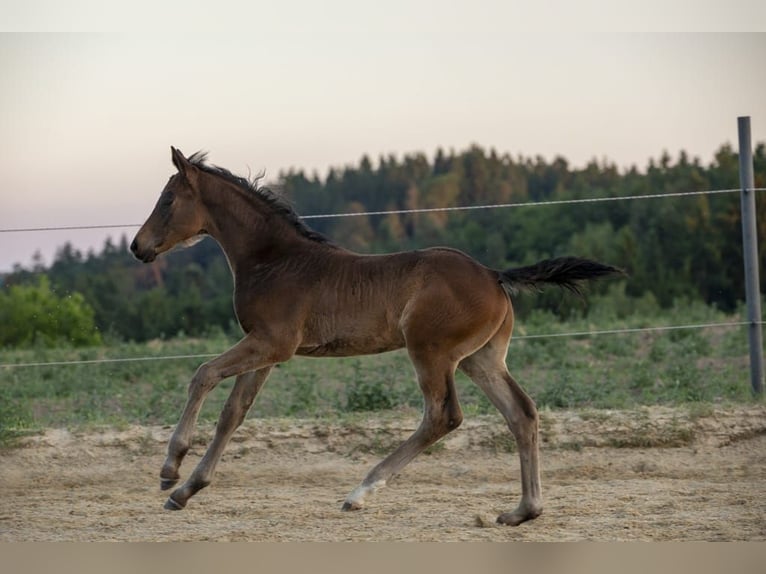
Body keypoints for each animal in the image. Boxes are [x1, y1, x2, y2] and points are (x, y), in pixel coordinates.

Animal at [130, 147, 622, 526]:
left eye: (168, 199)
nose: (138, 247)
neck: (274, 260)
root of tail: (494, 275)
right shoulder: (268, 351)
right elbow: (233, 413)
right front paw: (187, 490)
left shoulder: (272, 342)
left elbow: (203, 374)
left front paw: (170, 469)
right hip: (481, 358)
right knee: (521, 413)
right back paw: (523, 511)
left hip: (431, 351)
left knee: (444, 416)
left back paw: (360, 491)